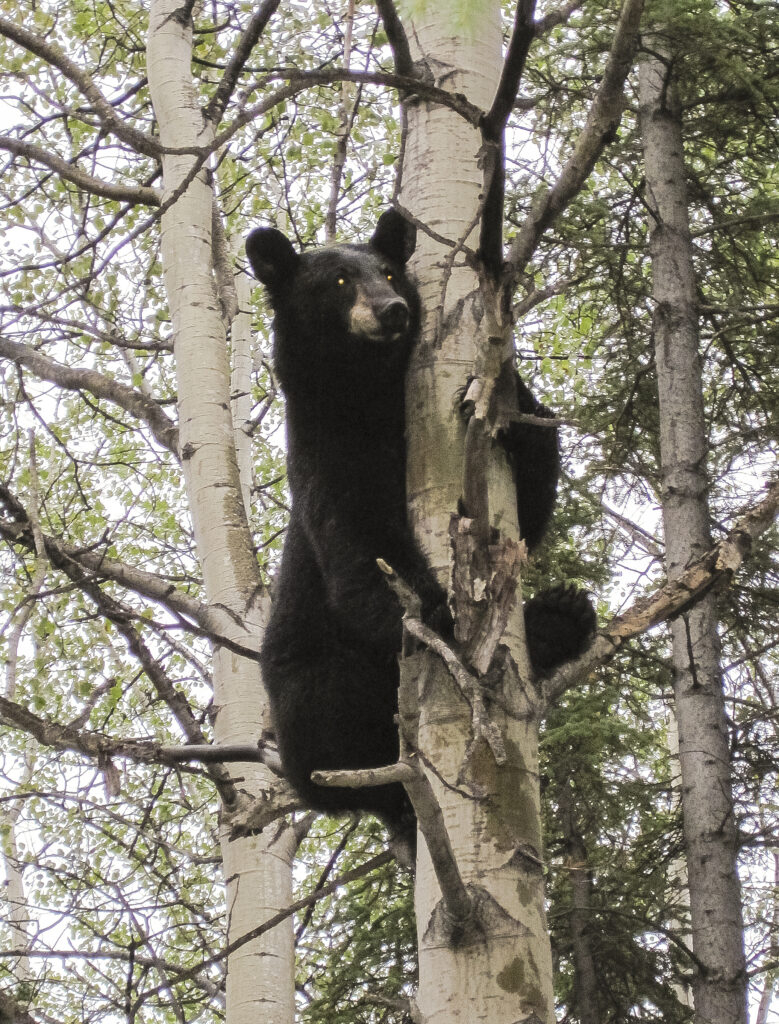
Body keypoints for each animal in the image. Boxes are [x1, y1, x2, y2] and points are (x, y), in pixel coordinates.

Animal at [246, 208, 595, 844]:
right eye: (338, 281)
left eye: (388, 272)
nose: (393, 310)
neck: (371, 393)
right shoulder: (327, 451)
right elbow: (361, 544)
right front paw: (437, 612)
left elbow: (527, 503)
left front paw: (498, 399)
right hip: (310, 693)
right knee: (337, 721)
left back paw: (560, 617)